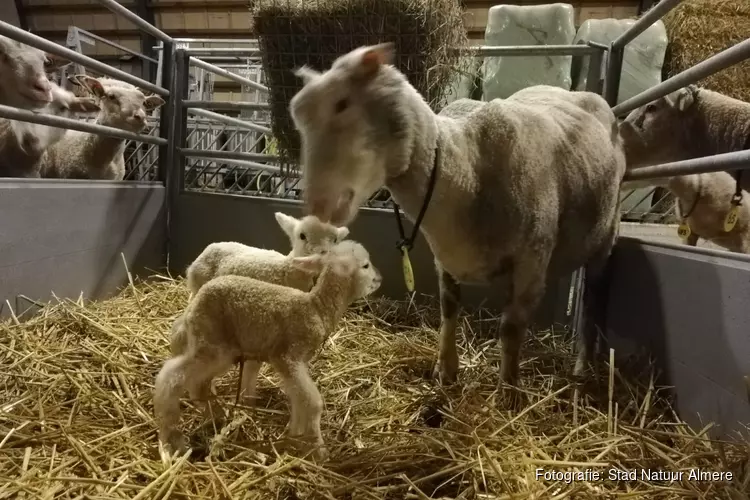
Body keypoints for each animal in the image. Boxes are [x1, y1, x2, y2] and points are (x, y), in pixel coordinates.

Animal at [156, 240, 384, 458]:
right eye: (365, 265)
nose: (379, 279)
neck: (317, 308)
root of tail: (194, 306)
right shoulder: (288, 356)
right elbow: (313, 402)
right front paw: (318, 450)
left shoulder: (292, 364)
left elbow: (298, 398)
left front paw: (295, 434)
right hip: (212, 344)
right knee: (172, 378)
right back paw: (172, 437)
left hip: (217, 347)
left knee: (198, 384)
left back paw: (217, 417)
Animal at [288, 41, 628, 404]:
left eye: (342, 104)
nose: (318, 205)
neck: (463, 166)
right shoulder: (446, 257)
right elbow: (449, 309)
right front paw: (446, 370)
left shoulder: (532, 260)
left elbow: (511, 328)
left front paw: (508, 391)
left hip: (605, 238)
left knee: (591, 305)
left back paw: (581, 369)